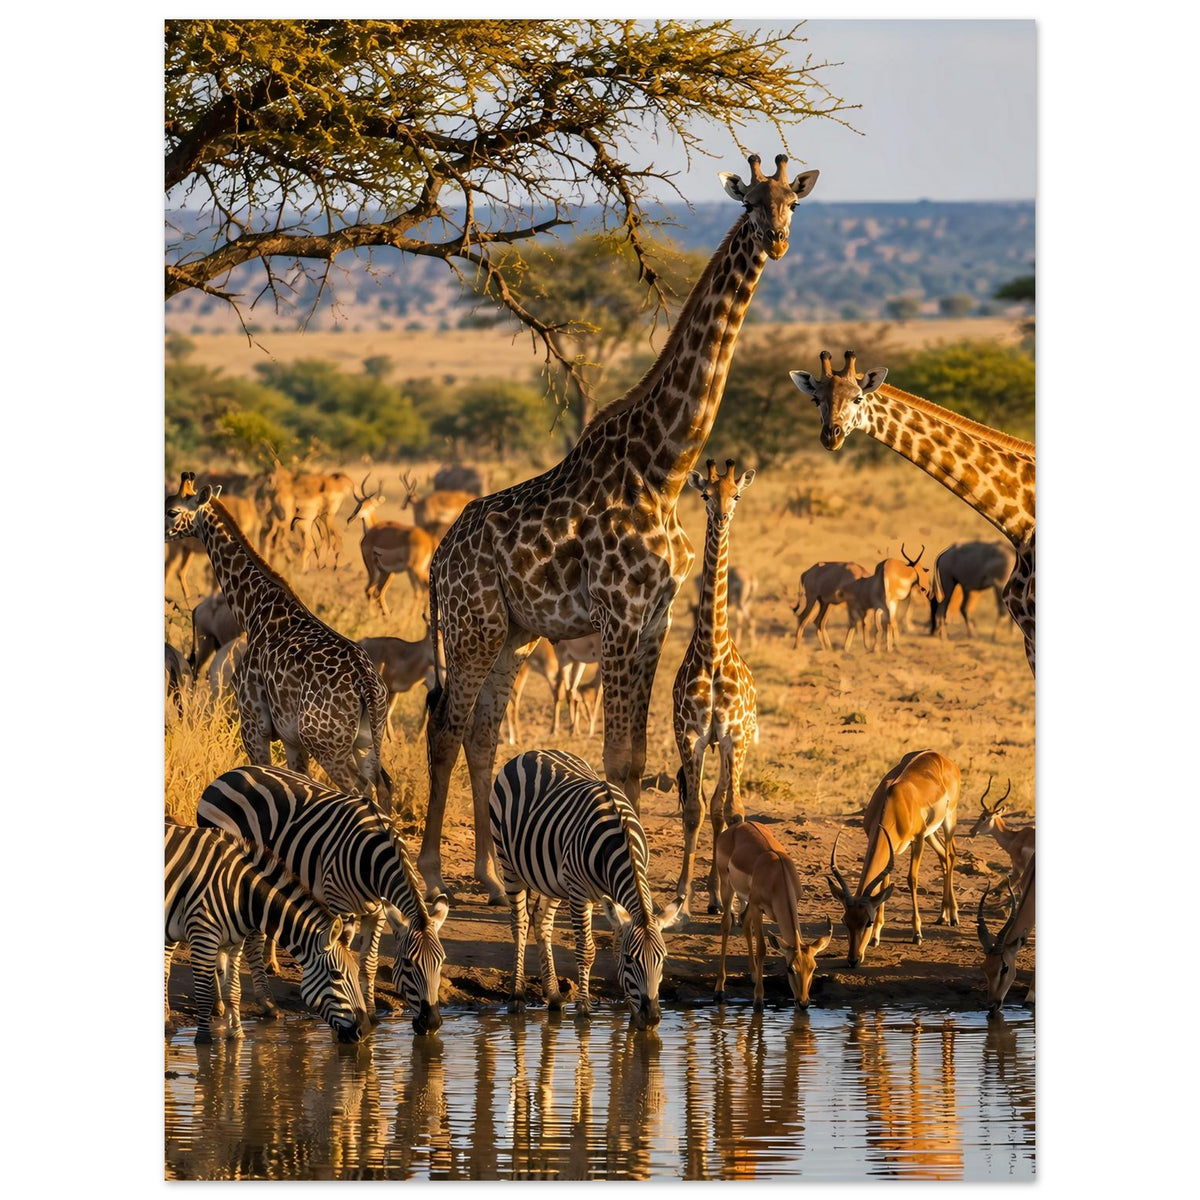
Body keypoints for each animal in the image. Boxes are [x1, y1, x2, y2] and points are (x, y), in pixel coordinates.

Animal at [164, 821, 369, 1044]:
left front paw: (237, 1035)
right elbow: (204, 993)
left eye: (356, 972)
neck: (242, 893)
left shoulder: (232, 944)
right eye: (336, 975)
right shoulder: (202, 934)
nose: (365, 1031)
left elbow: (233, 991)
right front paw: (203, 1040)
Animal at [196, 765, 449, 1034]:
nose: (432, 1023)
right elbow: (345, 955)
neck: (374, 858)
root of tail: (230, 773)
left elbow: (369, 963)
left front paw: (371, 1012)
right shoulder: (341, 905)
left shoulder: (378, 912)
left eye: (441, 962)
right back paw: (254, 1004)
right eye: (409, 964)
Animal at [489, 748, 685, 1028]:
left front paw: (630, 1010)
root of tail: (531, 752)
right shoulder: (580, 893)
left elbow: (615, 946)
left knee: (541, 921)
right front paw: (583, 1008)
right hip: (509, 862)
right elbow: (587, 950)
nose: (652, 1018)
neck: (620, 841)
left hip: (554, 880)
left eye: (663, 959)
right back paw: (516, 997)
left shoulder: (613, 898)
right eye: (631, 960)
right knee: (520, 924)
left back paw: (554, 996)